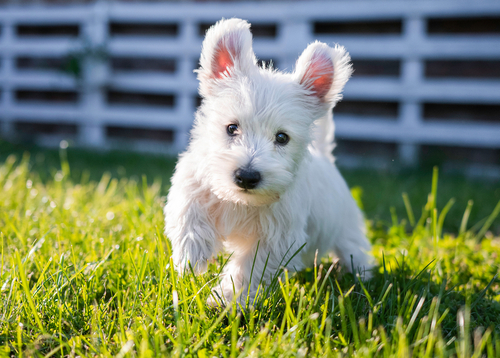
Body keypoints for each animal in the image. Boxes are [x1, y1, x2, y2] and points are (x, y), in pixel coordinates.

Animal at [166, 18, 374, 304]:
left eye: (282, 137)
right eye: (232, 128)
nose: (246, 177)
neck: (241, 202)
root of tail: (326, 157)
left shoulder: (277, 240)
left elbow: (249, 268)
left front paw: (227, 299)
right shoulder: (194, 183)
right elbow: (189, 215)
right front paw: (192, 257)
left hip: (346, 228)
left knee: (355, 249)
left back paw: (361, 275)